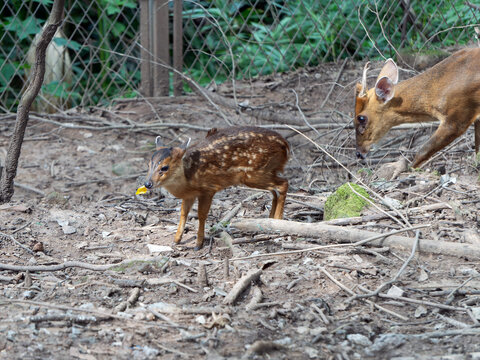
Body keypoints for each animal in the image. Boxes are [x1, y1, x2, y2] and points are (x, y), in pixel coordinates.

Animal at [142, 126, 288, 250]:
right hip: (263, 173)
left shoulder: (208, 189)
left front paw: (198, 244)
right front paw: (177, 239)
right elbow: (184, 213)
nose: (148, 184)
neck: (189, 177)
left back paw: (278, 221)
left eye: (164, 167)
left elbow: (201, 215)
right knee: (274, 191)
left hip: (254, 174)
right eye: (148, 164)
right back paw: (270, 220)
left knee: (283, 184)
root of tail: (285, 146)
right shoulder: (190, 195)